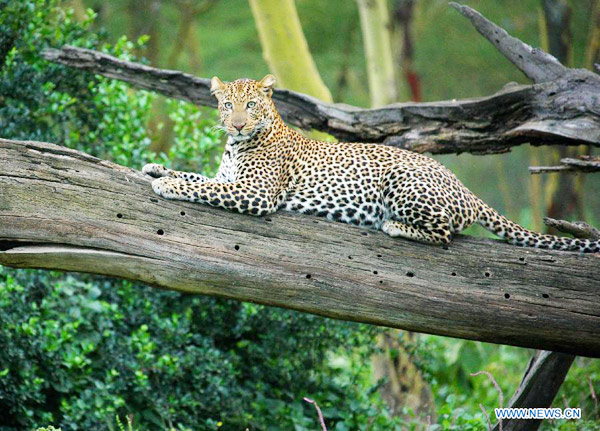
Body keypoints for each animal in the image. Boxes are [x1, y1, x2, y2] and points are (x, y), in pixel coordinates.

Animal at [142, 76, 600, 255]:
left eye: (251, 105)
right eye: (226, 105)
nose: (236, 123)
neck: (236, 146)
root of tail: (465, 188)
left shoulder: (253, 195)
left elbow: (203, 187)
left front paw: (167, 186)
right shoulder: (229, 178)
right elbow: (196, 175)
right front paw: (156, 169)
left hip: (405, 183)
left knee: (445, 234)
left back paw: (394, 226)